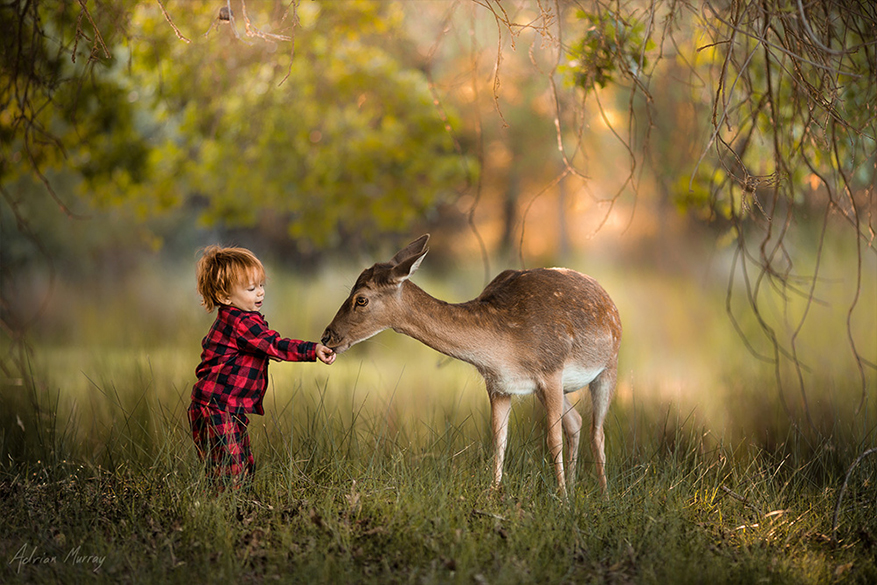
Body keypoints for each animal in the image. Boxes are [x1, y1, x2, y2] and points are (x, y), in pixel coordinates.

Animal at [324, 235, 624, 496]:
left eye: (361, 299)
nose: (327, 336)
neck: (504, 349)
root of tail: (608, 297)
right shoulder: (499, 385)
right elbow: (499, 440)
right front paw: (493, 495)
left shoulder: (551, 370)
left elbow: (552, 440)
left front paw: (561, 501)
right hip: (559, 389)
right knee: (576, 422)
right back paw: (574, 487)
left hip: (608, 366)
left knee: (597, 432)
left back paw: (604, 495)